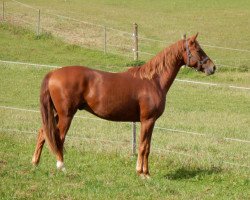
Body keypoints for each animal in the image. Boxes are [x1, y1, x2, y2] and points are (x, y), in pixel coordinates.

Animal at [31, 33, 215, 178]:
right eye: (198, 50)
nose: (213, 67)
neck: (153, 81)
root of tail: (53, 73)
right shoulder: (147, 120)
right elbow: (143, 147)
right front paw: (143, 173)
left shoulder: (149, 122)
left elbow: (146, 146)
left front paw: (144, 172)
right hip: (66, 115)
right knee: (58, 138)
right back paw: (61, 166)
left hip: (55, 114)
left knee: (43, 133)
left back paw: (35, 163)